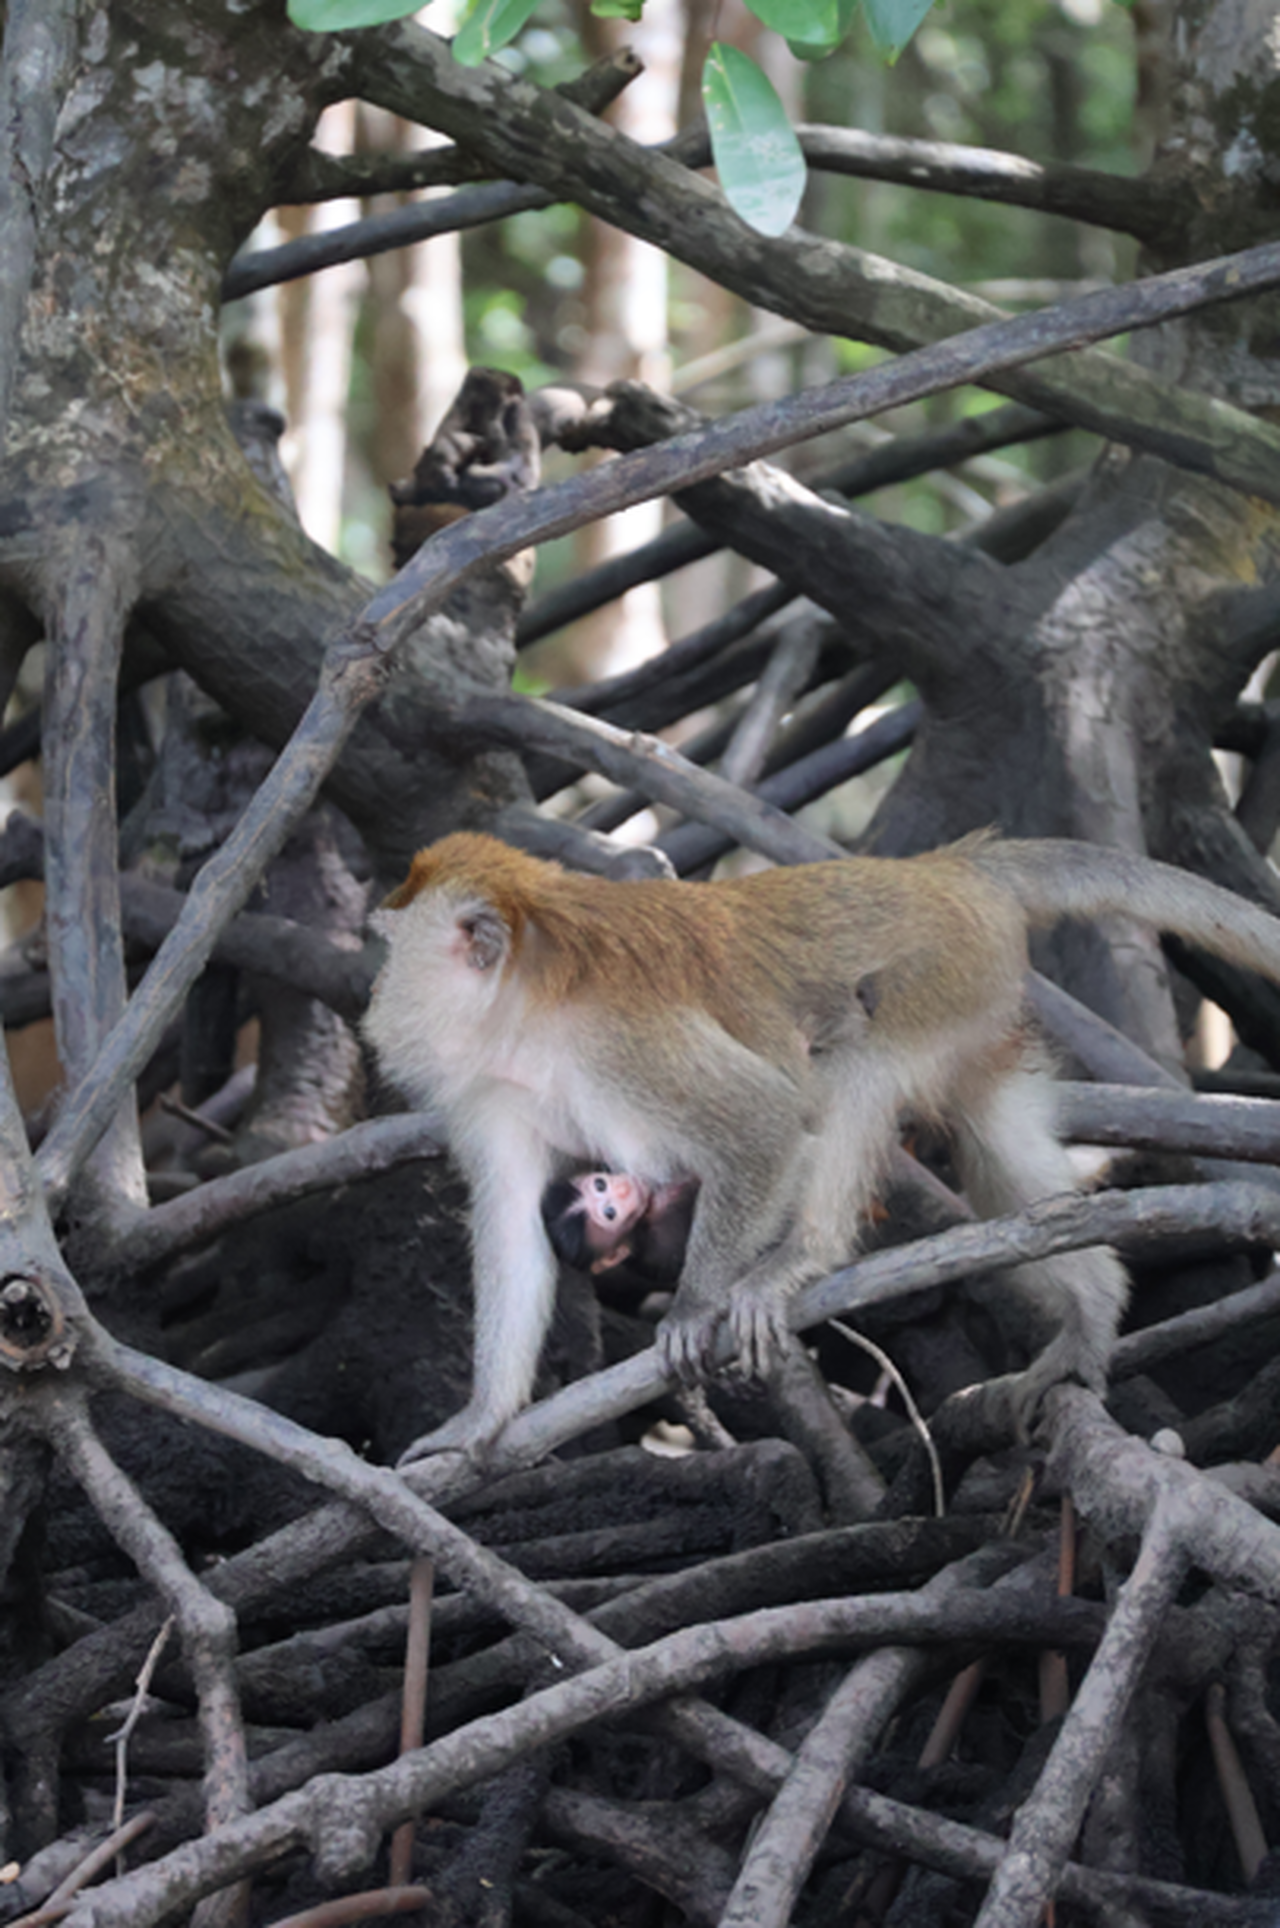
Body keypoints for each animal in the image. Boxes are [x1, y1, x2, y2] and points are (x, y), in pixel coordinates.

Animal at [363, 830, 1280, 1455]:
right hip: (983, 997)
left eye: (391, 952)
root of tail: (942, 868)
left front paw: (694, 1306)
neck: (524, 1013)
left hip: (939, 968)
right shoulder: (493, 1090)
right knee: (994, 1140)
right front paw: (481, 1419)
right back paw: (1091, 1311)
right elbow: (515, 1226)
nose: (372, 996)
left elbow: (762, 1123)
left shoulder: (619, 1041)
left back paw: (804, 1256)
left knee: (853, 1069)